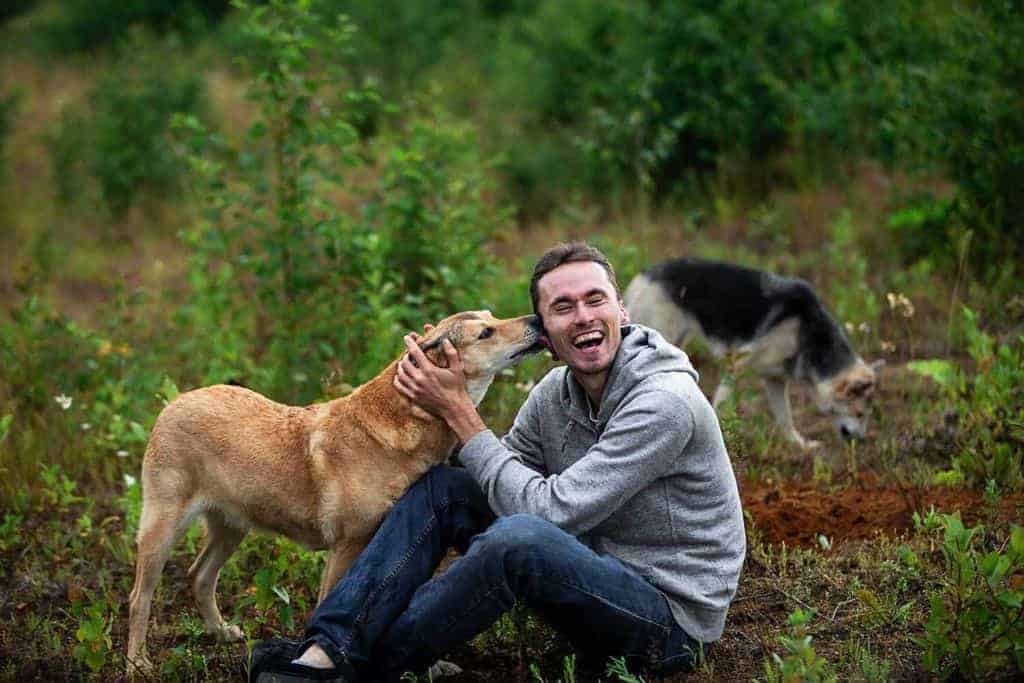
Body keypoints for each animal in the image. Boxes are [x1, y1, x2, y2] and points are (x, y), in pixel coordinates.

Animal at [125, 313, 544, 675]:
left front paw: (431, 668)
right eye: (486, 332)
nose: (535, 320)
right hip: (163, 526)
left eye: (492, 317)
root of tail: (177, 400)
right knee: (139, 596)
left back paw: (221, 633)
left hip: (233, 524)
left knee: (200, 574)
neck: (409, 420)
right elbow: (333, 602)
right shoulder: (348, 545)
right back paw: (137, 663)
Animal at [622, 258, 880, 448]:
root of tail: (643, 276)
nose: (861, 441)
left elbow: (785, 418)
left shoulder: (775, 380)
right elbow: (721, 405)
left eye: (866, 415)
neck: (809, 333)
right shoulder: (737, 364)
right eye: (859, 414)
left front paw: (799, 445)